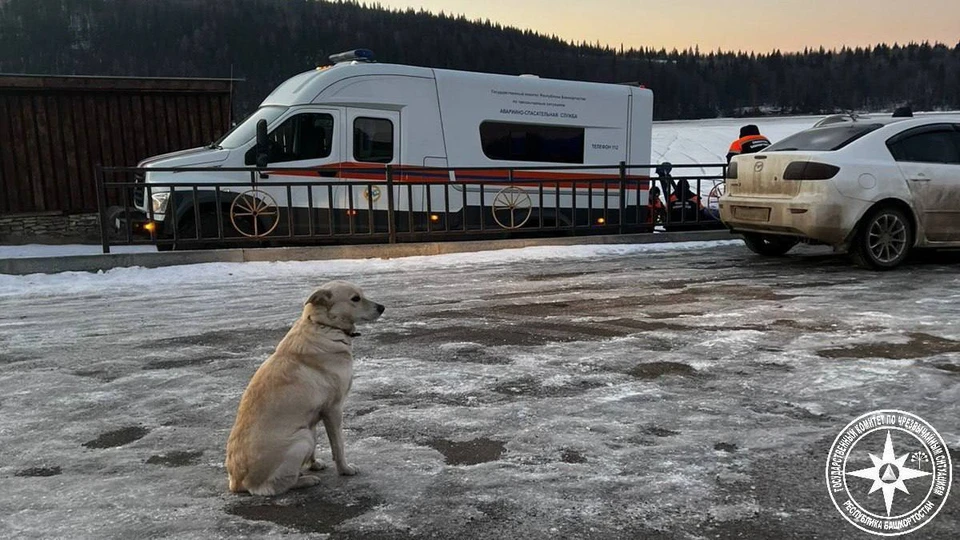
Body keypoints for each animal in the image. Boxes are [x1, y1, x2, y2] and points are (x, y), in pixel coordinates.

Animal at [227, 280, 384, 496]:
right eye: (355, 298)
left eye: (362, 294)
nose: (382, 307)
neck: (324, 326)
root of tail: (237, 482)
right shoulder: (334, 409)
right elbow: (339, 446)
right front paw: (344, 469)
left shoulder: (314, 416)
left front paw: (314, 464)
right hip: (302, 439)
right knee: (272, 487)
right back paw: (306, 480)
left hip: (306, 433)